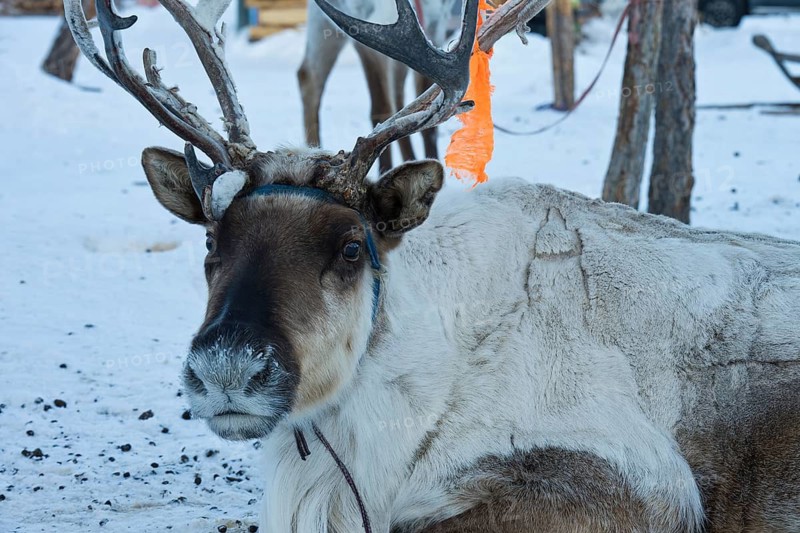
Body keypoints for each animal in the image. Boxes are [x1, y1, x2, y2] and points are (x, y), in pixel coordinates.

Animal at [297, 0, 461, 173]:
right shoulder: (368, 35)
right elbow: (381, 109)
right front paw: (385, 171)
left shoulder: (435, 29)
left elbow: (429, 123)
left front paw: (432, 164)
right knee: (309, 77)